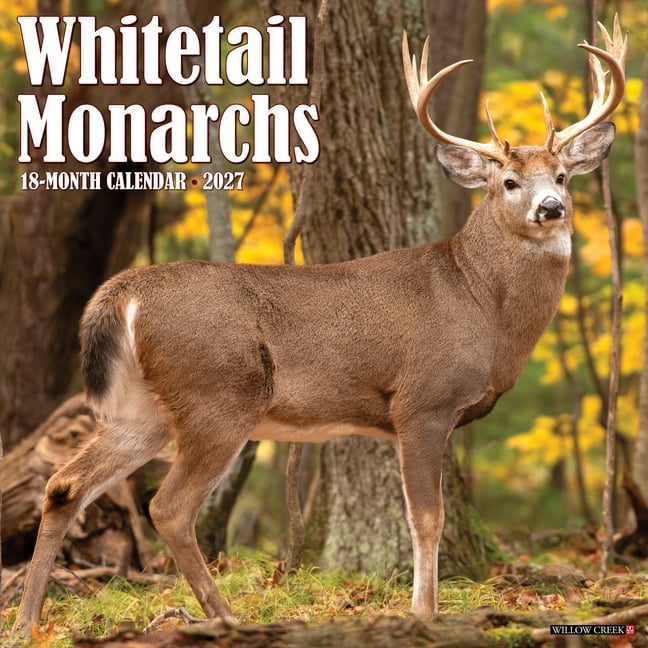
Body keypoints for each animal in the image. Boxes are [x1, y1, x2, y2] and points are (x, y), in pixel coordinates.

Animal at [13, 17, 626, 636]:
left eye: (562, 176)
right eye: (508, 183)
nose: (551, 208)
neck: (482, 304)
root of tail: (122, 293)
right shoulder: (422, 402)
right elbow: (426, 518)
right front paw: (422, 612)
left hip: (143, 409)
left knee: (65, 484)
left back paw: (26, 623)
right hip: (218, 394)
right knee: (168, 506)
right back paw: (225, 615)